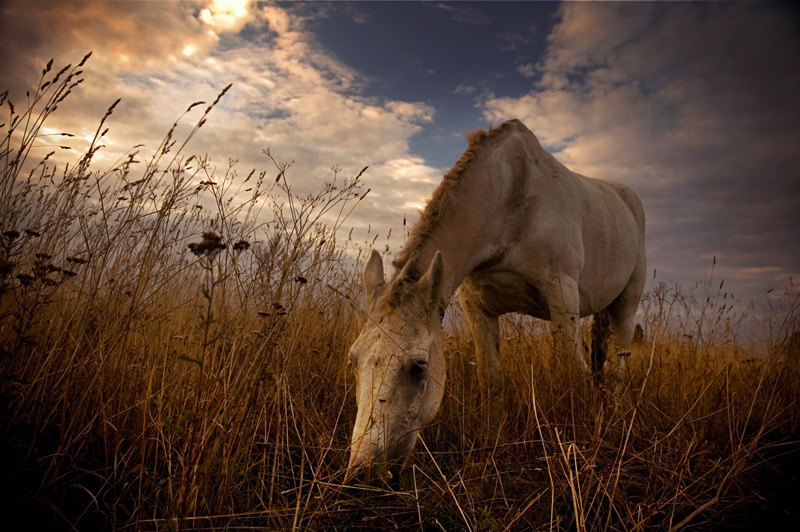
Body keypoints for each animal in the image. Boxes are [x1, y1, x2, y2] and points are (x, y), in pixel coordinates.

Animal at [346, 118, 646, 482]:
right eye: (353, 360)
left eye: (418, 367)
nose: (362, 473)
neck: (511, 202)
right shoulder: (477, 306)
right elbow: (492, 379)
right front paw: (493, 445)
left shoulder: (563, 297)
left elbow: (575, 376)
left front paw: (582, 448)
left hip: (627, 305)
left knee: (617, 370)